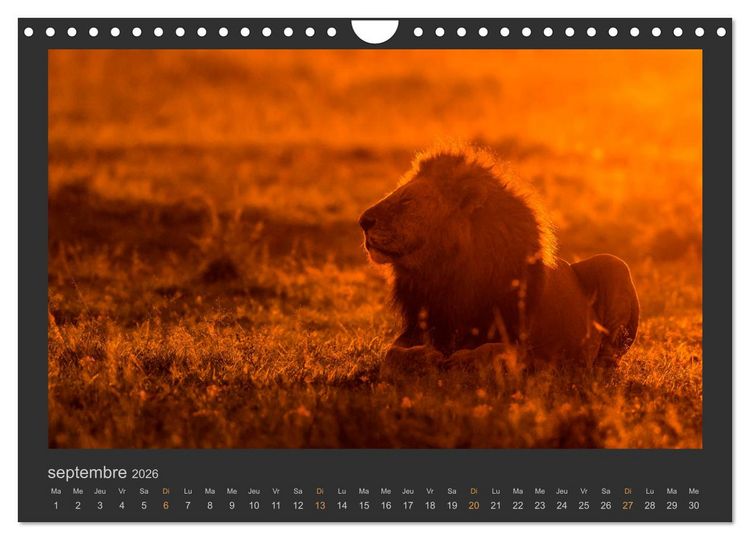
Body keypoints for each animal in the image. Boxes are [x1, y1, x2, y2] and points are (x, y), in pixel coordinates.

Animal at [358, 145, 639, 373]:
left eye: (407, 201)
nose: (363, 221)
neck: (445, 272)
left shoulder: (531, 348)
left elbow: (493, 351)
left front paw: (458, 359)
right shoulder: (419, 326)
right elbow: (392, 354)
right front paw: (426, 357)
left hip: (614, 264)